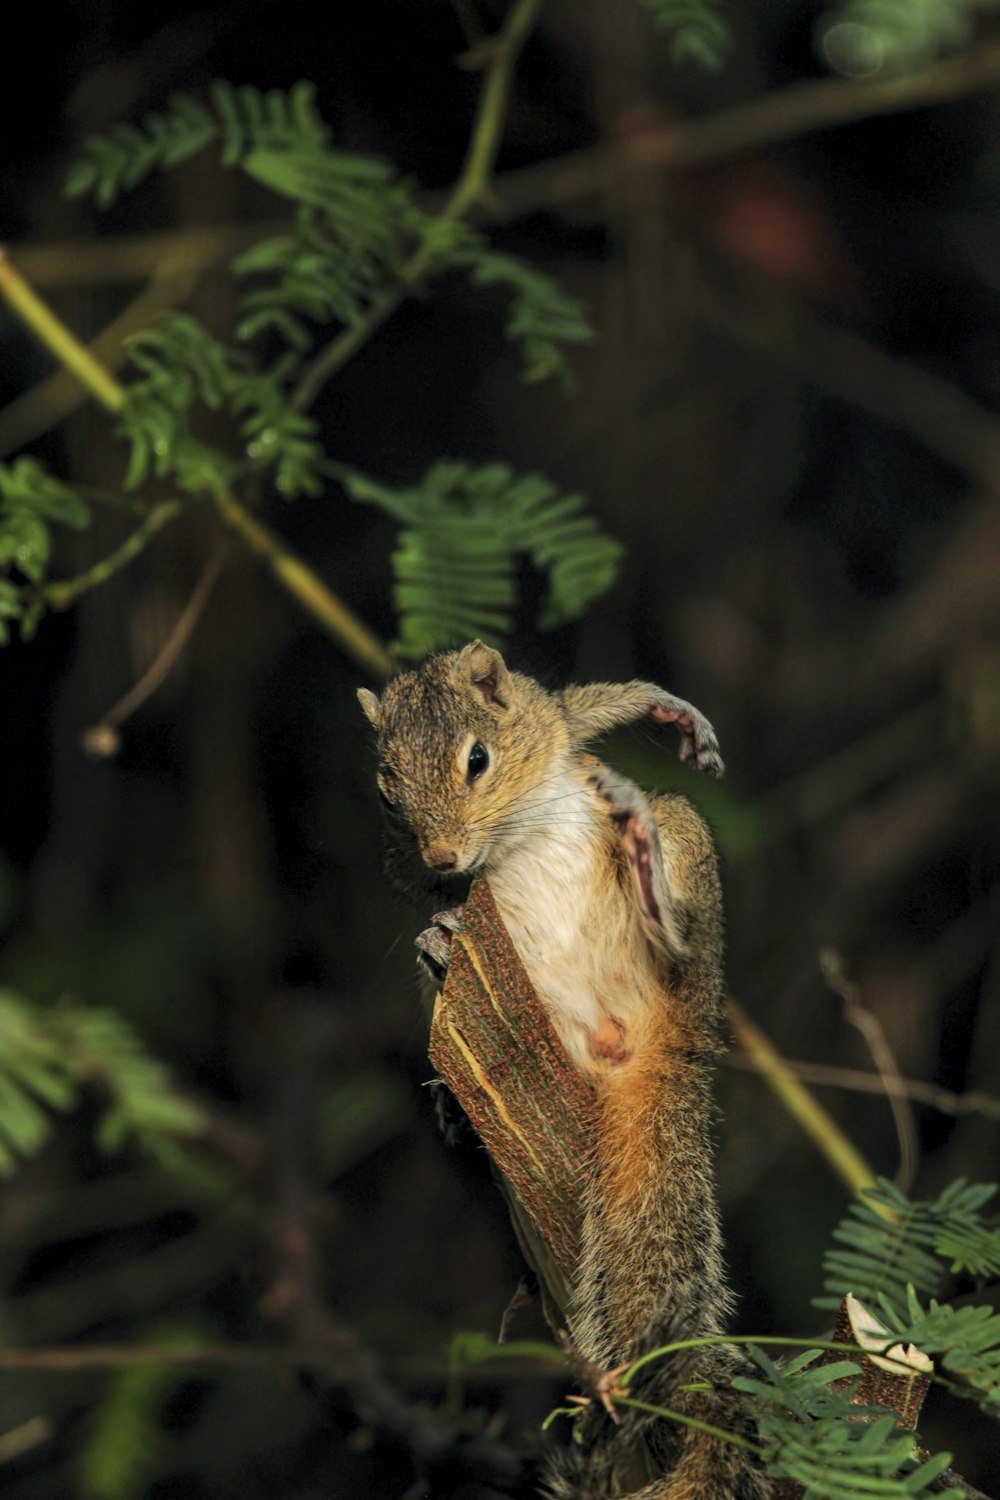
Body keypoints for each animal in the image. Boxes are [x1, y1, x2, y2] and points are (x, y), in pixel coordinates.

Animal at [364, 642, 773, 1500]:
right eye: (385, 790)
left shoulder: (555, 727)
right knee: (438, 954)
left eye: (478, 759)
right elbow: (416, 887)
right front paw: (438, 912)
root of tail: (629, 1044)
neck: (507, 837)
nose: (445, 855)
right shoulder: (408, 867)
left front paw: (667, 709)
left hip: (688, 892)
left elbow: (588, 705)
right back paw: (444, 992)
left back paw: (649, 874)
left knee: (677, 916)